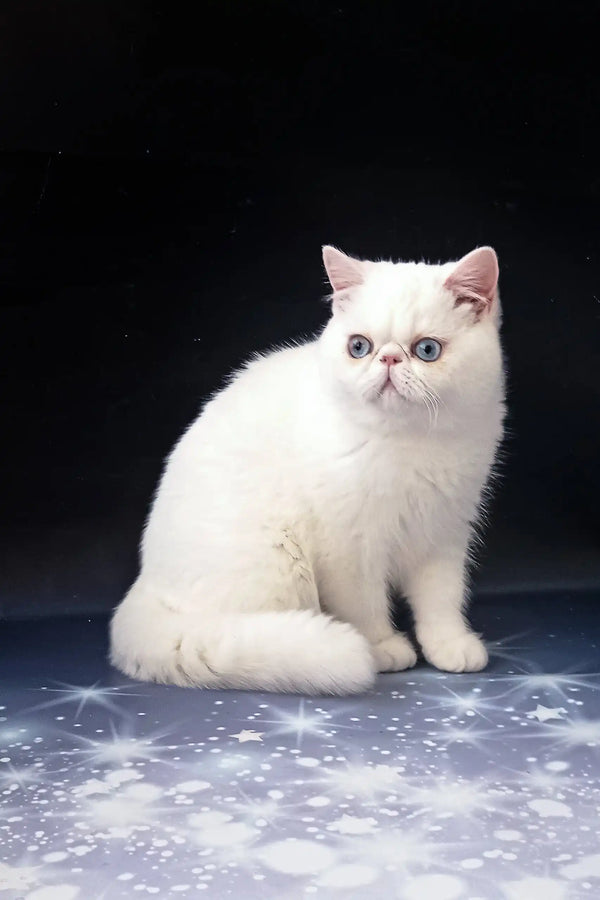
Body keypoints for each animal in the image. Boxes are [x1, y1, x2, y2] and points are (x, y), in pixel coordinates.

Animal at [110, 246, 504, 696]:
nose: (388, 358)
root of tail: (144, 590)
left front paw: (450, 646)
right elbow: (364, 605)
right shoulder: (349, 545)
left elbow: (442, 598)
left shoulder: (444, 531)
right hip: (280, 561)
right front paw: (382, 648)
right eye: (359, 347)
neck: (411, 442)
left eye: (426, 351)